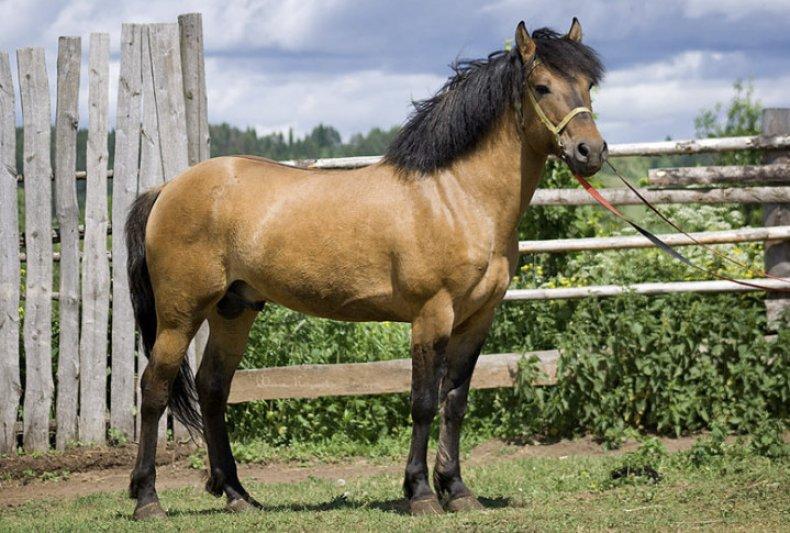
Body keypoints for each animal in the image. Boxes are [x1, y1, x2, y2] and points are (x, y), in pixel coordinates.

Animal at [126, 18, 606, 519]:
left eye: (588, 85)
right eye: (542, 85)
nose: (590, 151)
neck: (456, 197)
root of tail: (167, 188)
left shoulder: (477, 318)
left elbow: (455, 402)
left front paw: (457, 490)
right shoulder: (432, 316)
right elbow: (423, 402)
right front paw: (421, 493)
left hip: (233, 309)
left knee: (213, 388)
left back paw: (239, 495)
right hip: (181, 314)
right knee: (155, 388)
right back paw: (148, 499)